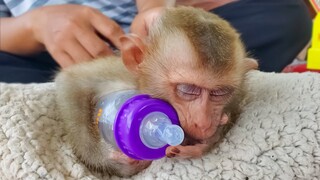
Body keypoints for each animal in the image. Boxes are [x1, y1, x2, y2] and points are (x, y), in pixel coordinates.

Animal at [55, 5, 258, 177]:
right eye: (188, 90)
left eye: (220, 93)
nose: (203, 122)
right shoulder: (117, 72)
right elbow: (70, 82)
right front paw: (108, 158)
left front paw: (204, 143)